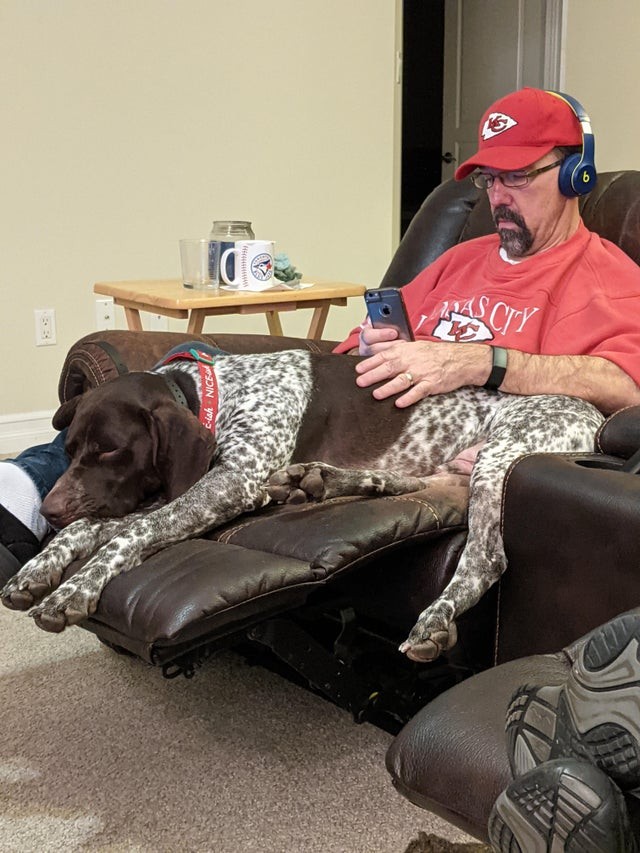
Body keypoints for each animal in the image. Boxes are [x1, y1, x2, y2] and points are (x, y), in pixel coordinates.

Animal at [0, 346, 604, 660]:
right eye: (70, 448)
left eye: (110, 450)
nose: (49, 511)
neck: (216, 398)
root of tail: (598, 420)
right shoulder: (204, 487)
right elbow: (94, 528)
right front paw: (39, 566)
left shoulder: (230, 484)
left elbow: (126, 533)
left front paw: (73, 589)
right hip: (448, 471)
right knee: (404, 487)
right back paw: (318, 481)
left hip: (501, 457)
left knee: (485, 557)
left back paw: (435, 617)